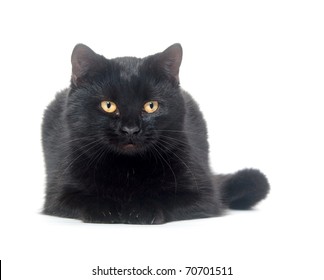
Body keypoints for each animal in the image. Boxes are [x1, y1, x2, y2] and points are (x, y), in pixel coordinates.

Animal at [41, 43, 270, 223]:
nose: (130, 129)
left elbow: (167, 199)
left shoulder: (203, 197)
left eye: (151, 106)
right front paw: (107, 208)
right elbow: (85, 199)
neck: (127, 169)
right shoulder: (58, 196)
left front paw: (141, 208)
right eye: (108, 105)